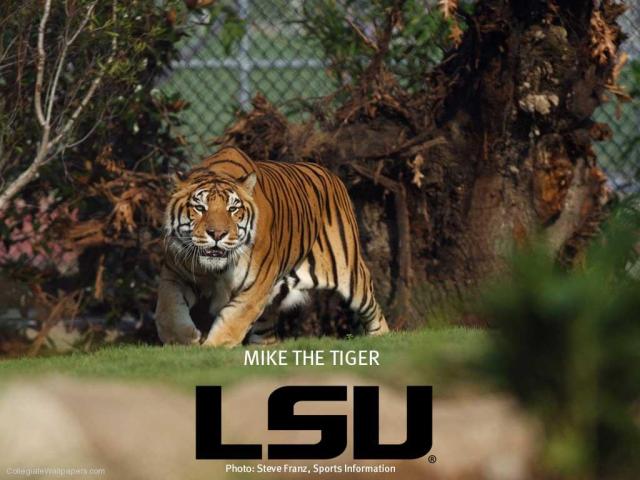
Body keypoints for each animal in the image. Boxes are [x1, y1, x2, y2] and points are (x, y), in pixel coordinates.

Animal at [155, 146, 389, 347]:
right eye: (200, 208)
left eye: (233, 209)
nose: (217, 234)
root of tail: (331, 174)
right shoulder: (174, 274)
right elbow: (168, 311)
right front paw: (183, 342)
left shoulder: (255, 287)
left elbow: (231, 321)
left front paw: (211, 348)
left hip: (348, 273)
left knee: (373, 309)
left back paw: (382, 340)